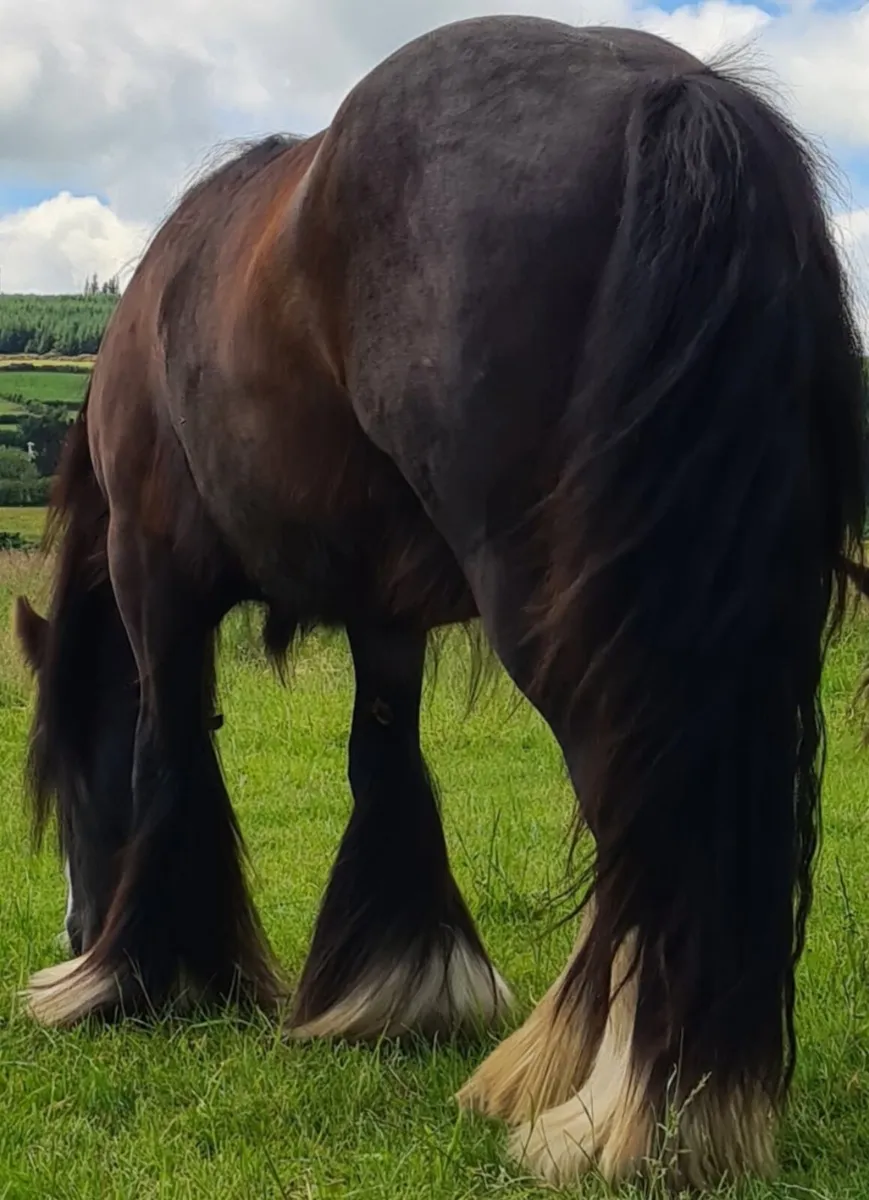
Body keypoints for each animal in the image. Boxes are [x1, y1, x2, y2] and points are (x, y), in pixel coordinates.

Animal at [13, 14, 868, 1193]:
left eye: (57, 792)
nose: (71, 930)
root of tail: (676, 94)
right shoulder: (385, 623)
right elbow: (383, 767)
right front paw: (401, 992)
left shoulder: (156, 581)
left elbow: (166, 757)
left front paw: (129, 980)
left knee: (642, 816)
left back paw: (618, 1116)